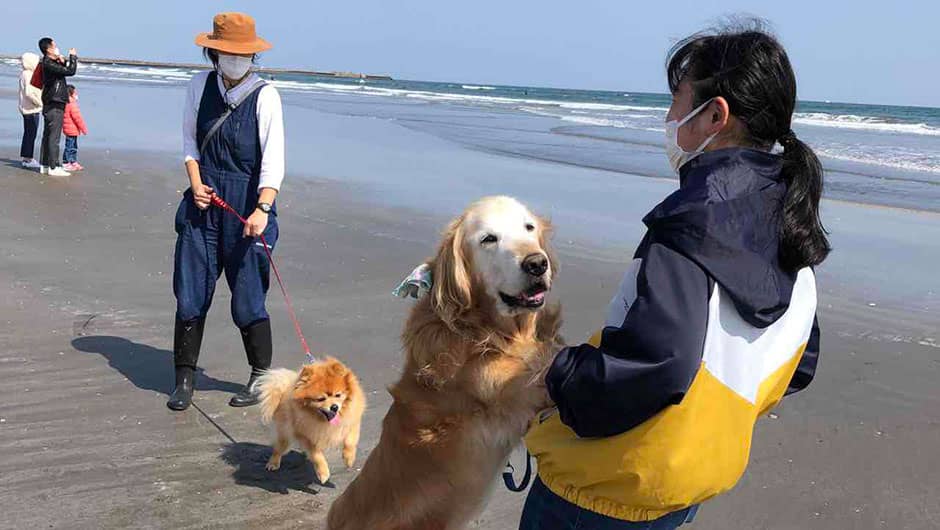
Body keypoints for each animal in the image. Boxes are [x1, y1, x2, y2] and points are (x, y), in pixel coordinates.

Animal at [262, 354, 370, 482]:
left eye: (338, 395)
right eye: (321, 399)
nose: (334, 407)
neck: (323, 421)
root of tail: (284, 390)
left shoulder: (351, 424)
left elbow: (350, 442)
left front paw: (349, 459)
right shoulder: (306, 436)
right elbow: (317, 456)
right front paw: (323, 474)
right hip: (285, 434)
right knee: (278, 448)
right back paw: (273, 463)